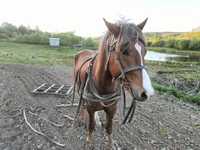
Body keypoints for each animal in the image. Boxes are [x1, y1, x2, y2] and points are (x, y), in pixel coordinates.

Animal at [73, 18, 155, 148]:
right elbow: (90, 126)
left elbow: (109, 128)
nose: (147, 92)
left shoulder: (112, 110)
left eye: (145, 51)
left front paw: (110, 145)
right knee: (81, 103)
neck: (103, 86)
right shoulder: (91, 109)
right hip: (79, 88)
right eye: (124, 51)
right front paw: (89, 142)